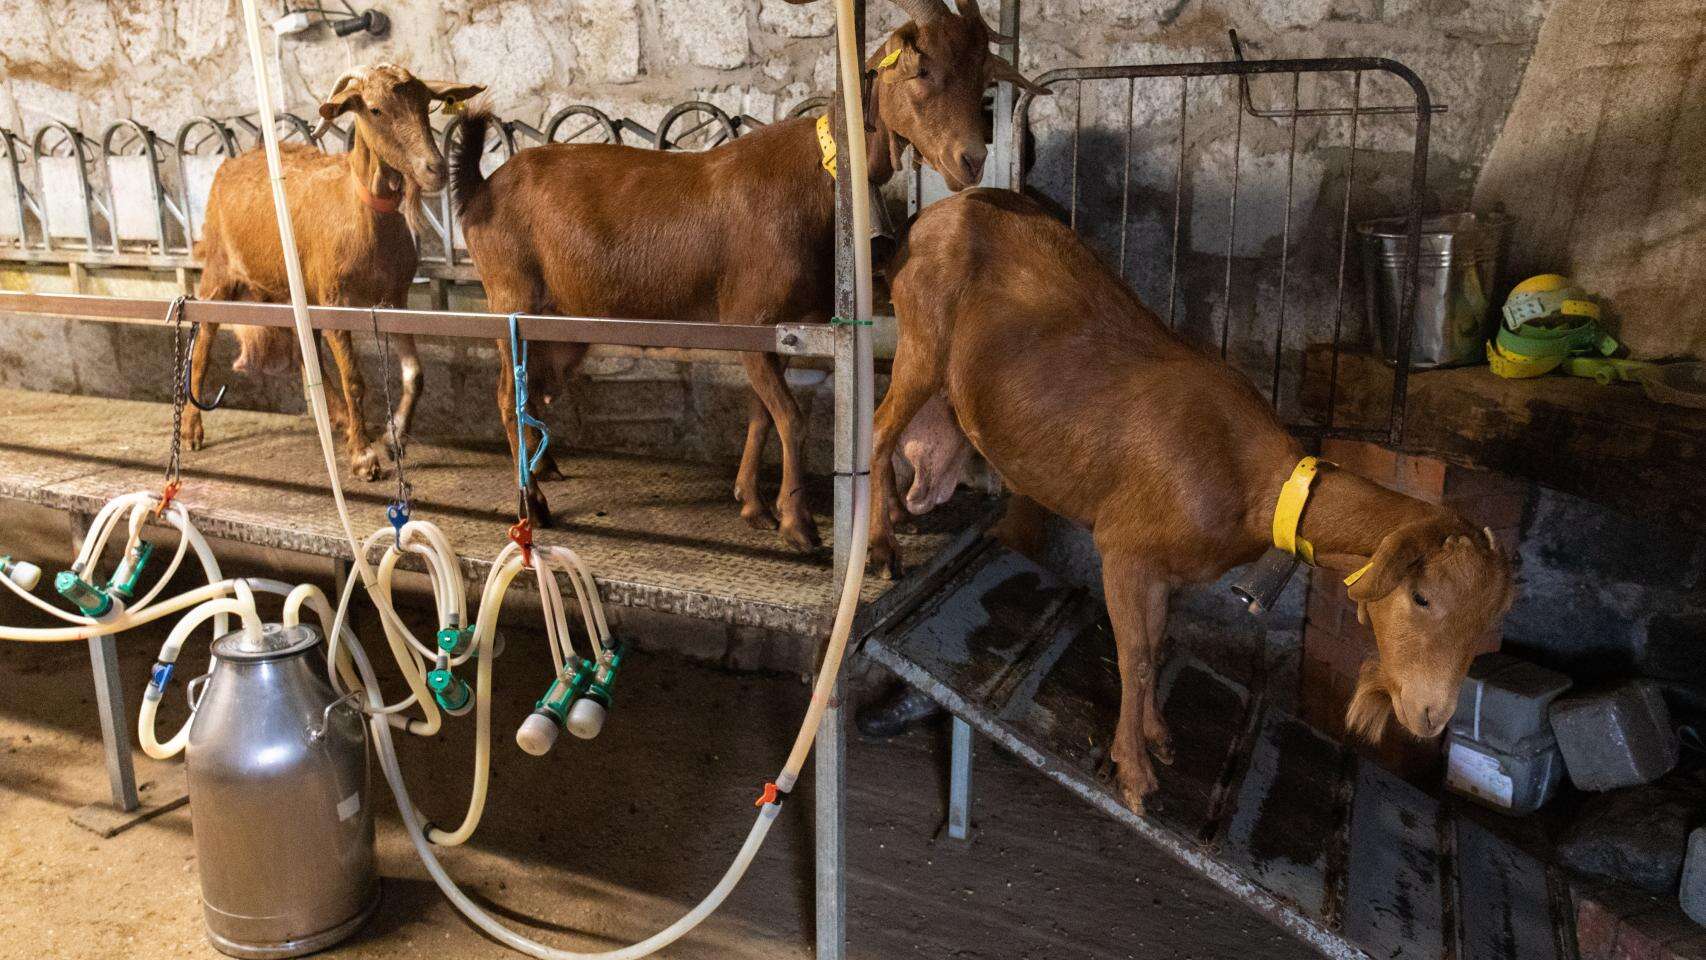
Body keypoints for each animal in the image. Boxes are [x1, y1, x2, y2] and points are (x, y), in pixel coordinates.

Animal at [184, 63, 484, 480]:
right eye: (374, 109)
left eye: (426, 103)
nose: (435, 169)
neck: (363, 214)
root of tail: (231, 163)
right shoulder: (336, 299)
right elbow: (354, 380)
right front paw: (363, 457)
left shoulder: (395, 296)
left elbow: (415, 374)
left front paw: (393, 438)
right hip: (219, 270)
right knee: (204, 338)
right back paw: (191, 430)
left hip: (294, 289)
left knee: (303, 347)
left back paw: (340, 420)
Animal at [446, 0, 1044, 549]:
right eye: (921, 69)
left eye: (983, 76)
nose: (971, 159)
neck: (823, 173)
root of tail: (479, 189)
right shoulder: (748, 315)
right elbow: (792, 417)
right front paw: (798, 524)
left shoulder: (771, 330)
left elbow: (761, 413)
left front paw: (752, 503)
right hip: (510, 299)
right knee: (507, 396)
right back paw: (535, 503)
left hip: (563, 323)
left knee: (535, 391)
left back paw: (543, 467)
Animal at [873, 190, 1514, 818]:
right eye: (1422, 597)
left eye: (1487, 626)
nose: (1429, 717)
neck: (1252, 483)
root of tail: (933, 214)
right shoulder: (1124, 550)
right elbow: (1133, 655)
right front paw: (1134, 773)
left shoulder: (1169, 569)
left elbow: (1159, 646)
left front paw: (1157, 734)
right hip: (921, 339)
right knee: (879, 429)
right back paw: (882, 545)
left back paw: (904, 512)